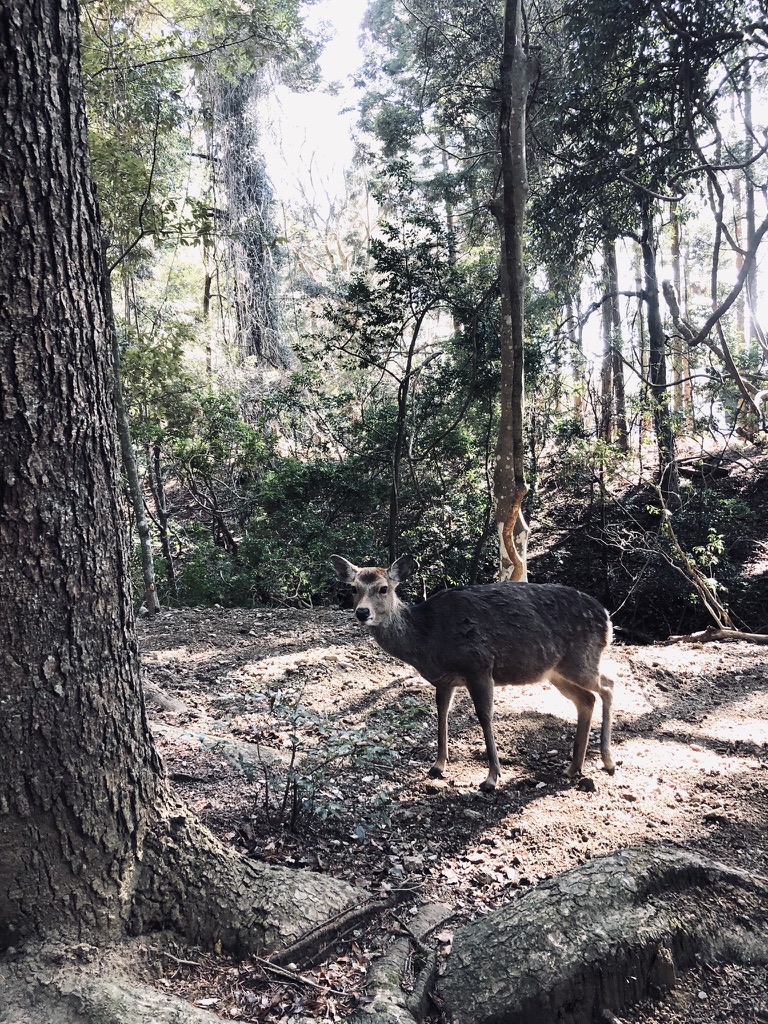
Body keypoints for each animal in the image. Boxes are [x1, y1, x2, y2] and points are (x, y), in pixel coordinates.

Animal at [331, 554, 616, 792]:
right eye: (353, 588)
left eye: (383, 588)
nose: (362, 612)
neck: (428, 638)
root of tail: (607, 617)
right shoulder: (444, 680)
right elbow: (442, 712)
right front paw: (437, 766)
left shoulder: (479, 666)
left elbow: (484, 715)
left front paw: (491, 778)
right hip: (556, 672)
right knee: (586, 699)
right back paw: (573, 767)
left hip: (581, 659)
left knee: (608, 685)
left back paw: (608, 760)